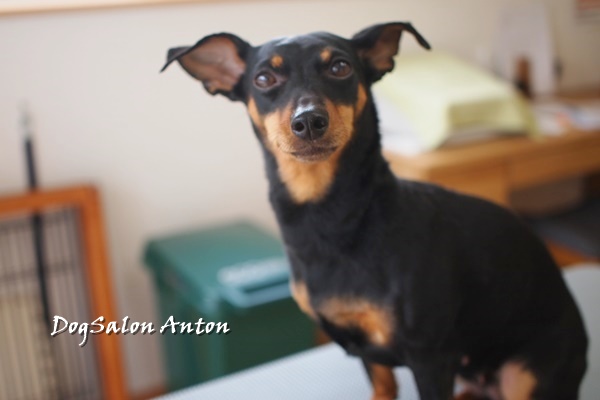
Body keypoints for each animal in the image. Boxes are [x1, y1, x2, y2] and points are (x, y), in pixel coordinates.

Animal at [162, 22, 588, 400]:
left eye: (340, 67)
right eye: (264, 78)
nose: (309, 121)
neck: (331, 217)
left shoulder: (431, 356)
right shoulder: (366, 348)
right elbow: (383, 387)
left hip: (524, 376)